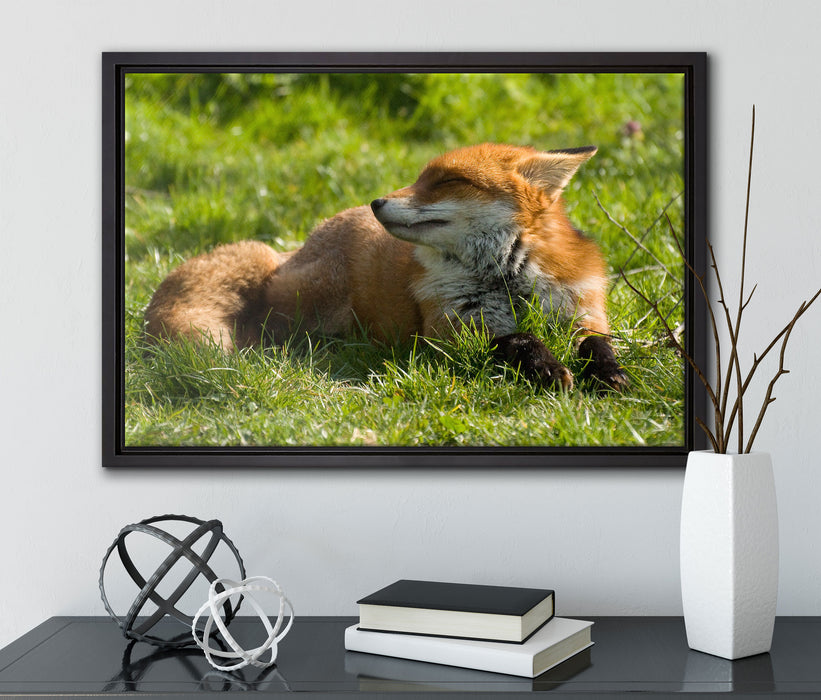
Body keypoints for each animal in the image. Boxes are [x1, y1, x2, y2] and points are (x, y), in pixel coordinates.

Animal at [145, 143, 628, 391]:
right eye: (418, 178)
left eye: (447, 181)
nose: (376, 202)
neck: (506, 281)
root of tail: (294, 248)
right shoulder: (452, 334)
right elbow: (519, 339)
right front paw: (547, 368)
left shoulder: (582, 311)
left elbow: (597, 345)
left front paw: (611, 374)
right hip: (314, 308)